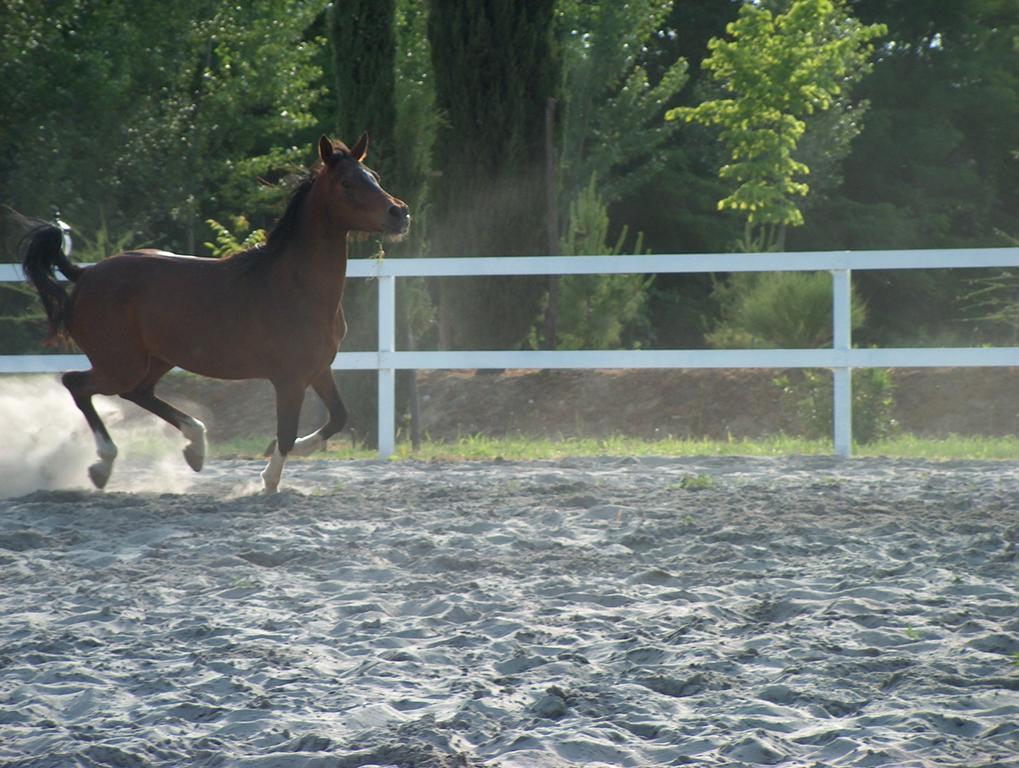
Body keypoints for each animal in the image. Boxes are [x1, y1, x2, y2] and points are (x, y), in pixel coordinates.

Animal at [19, 131, 409, 490]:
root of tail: (85, 274)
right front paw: (268, 479)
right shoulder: (289, 378)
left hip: (156, 359)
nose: (400, 213)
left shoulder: (319, 369)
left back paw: (194, 447)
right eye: (347, 182)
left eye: (373, 175)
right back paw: (103, 464)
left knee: (138, 392)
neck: (295, 287)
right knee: (78, 384)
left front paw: (297, 450)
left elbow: (338, 417)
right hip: (119, 364)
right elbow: (285, 432)